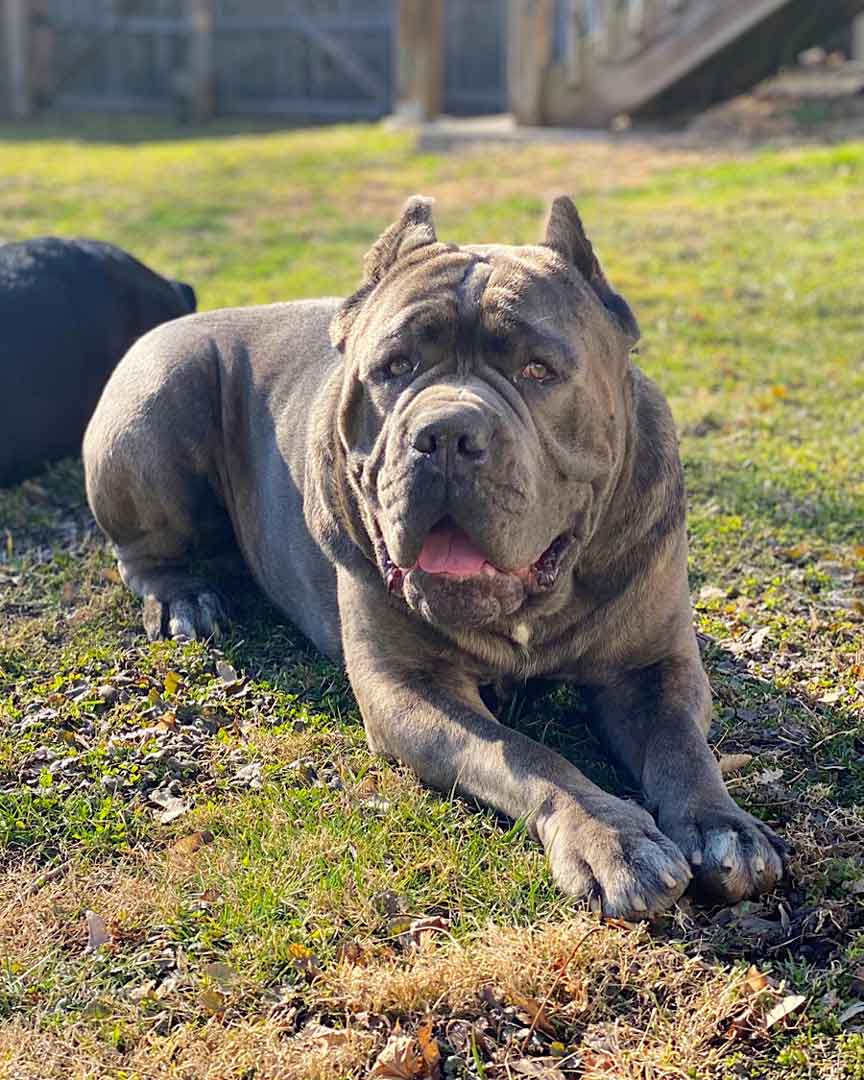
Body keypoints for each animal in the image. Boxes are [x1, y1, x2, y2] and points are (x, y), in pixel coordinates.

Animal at [84, 196, 786, 920]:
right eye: (395, 367)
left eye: (538, 370)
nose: (446, 433)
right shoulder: (407, 687)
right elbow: (526, 755)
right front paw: (613, 838)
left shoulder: (654, 663)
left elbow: (682, 745)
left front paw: (722, 826)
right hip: (156, 404)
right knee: (141, 550)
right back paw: (183, 598)